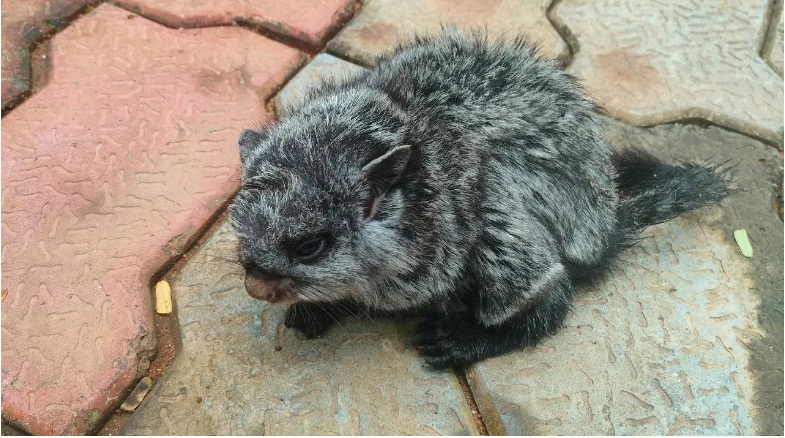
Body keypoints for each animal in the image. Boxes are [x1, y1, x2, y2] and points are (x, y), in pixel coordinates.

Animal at [229, 29, 732, 369]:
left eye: (310, 247)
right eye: (240, 237)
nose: (255, 286)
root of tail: (604, 220)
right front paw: (317, 307)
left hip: (505, 213)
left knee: (548, 290)